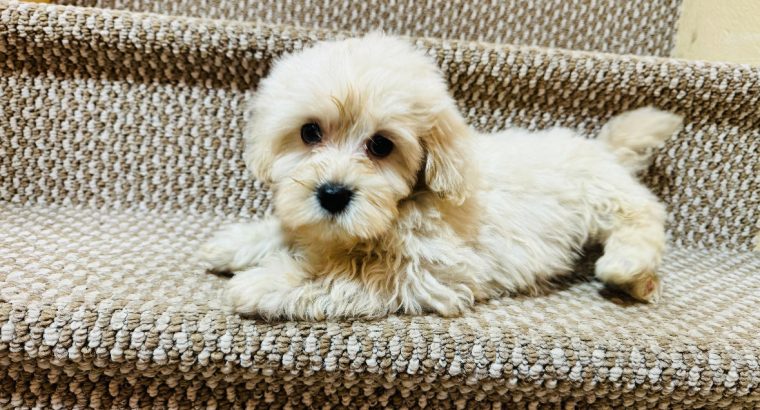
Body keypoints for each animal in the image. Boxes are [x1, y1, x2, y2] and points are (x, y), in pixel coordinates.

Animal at [200, 33, 684, 320]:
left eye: (381, 145)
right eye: (310, 132)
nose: (333, 195)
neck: (403, 205)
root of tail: (600, 147)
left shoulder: (432, 270)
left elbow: (351, 273)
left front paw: (265, 283)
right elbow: (294, 230)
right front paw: (235, 244)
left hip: (603, 197)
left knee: (643, 214)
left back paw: (629, 267)